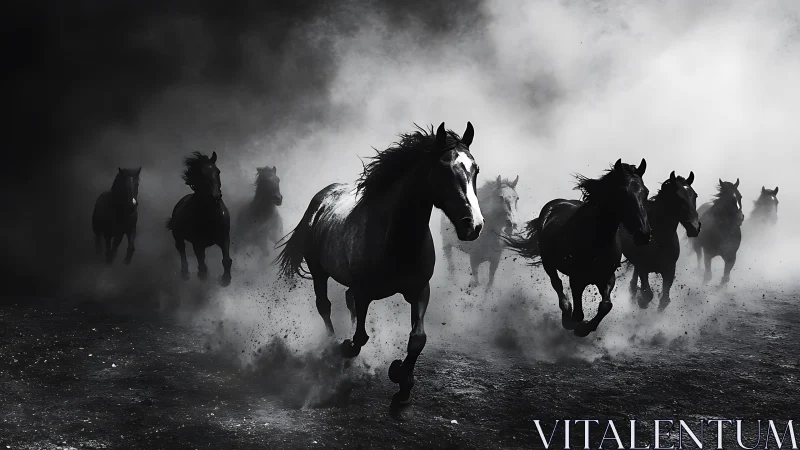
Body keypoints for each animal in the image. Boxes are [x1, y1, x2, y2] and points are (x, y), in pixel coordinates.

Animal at [166, 151, 232, 286]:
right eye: (201, 174)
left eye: (218, 171)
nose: (215, 196)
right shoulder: (198, 244)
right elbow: (202, 266)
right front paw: (203, 280)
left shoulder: (224, 238)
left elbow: (226, 260)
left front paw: (226, 279)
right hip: (178, 236)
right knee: (181, 249)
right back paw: (185, 274)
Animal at [276, 122, 483, 405]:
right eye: (444, 170)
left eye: (476, 169)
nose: (473, 225)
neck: (396, 240)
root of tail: (320, 200)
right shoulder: (365, 293)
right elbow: (360, 337)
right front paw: (346, 349)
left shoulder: (420, 290)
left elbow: (417, 339)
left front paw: (402, 380)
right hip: (319, 272)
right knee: (324, 306)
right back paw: (331, 347)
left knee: (346, 301)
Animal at [503, 159, 651, 337]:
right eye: (622, 193)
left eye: (646, 192)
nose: (643, 234)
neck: (596, 240)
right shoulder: (577, 278)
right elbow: (578, 313)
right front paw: (574, 324)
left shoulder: (607, 277)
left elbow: (606, 305)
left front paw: (585, 328)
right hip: (548, 263)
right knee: (557, 284)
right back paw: (566, 316)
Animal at [620, 171, 701, 311]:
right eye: (678, 197)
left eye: (695, 195)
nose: (695, 227)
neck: (660, 241)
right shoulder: (643, 268)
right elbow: (648, 295)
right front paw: (641, 300)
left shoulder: (670, 269)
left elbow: (664, 300)